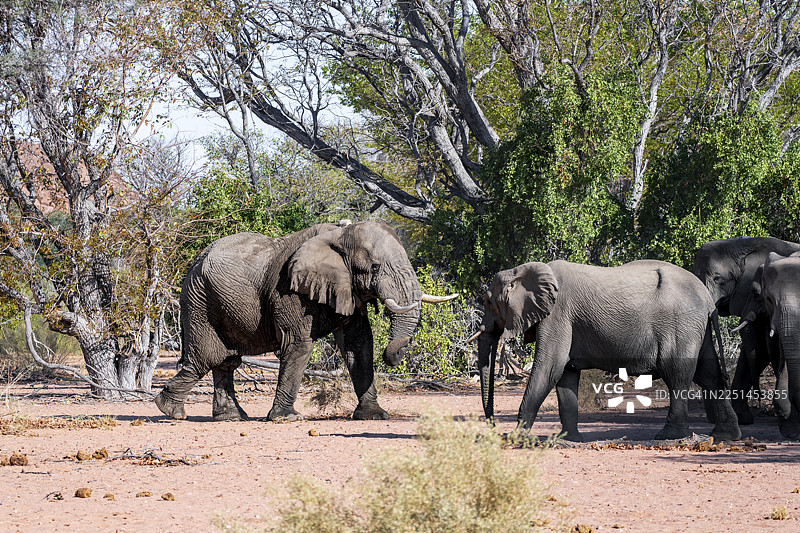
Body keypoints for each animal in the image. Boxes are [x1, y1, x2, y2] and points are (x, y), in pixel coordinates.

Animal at [154, 220, 455, 422]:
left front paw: (374, 416)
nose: (396, 353)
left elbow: (359, 344)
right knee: (206, 357)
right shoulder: (289, 289)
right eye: (375, 267)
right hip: (199, 301)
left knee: (226, 361)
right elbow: (299, 344)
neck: (339, 235)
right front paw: (286, 418)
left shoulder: (346, 288)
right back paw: (169, 410)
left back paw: (231, 417)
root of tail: (195, 260)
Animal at [471, 260, 741, 442]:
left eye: (488, 301)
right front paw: (569, 440)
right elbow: (565, 375)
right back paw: (726, 435)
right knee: (709, 374)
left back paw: (668, 436)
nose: (493, 428)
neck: (524, 269)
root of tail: (708, 299)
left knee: (677, 373)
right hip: (695, 327)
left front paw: (515, 438)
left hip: (680, 324)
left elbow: (549, 369)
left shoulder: (557, 315)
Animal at [693, 237, 800, 423]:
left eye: (718, 279)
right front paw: (743, 419)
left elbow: (762, 349)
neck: (743, 245)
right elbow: (754, 351)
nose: (725, 378)